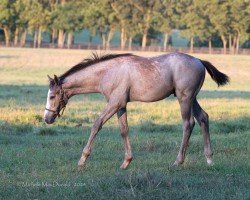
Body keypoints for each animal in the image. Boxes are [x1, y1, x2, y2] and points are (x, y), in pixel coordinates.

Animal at [43, 52, 229, 170]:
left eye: (52, 96)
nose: (47, 118)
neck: (108, 73)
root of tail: (198, 60)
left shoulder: (114, 103)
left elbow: (97, 124)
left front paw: (82, 160)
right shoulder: (121, 105)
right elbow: (124, 130)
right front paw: (126, 161)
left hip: (184, 99)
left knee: (188, 124)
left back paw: (178, 162)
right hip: (192, 99)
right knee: (203, 118)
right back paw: (209, 159)